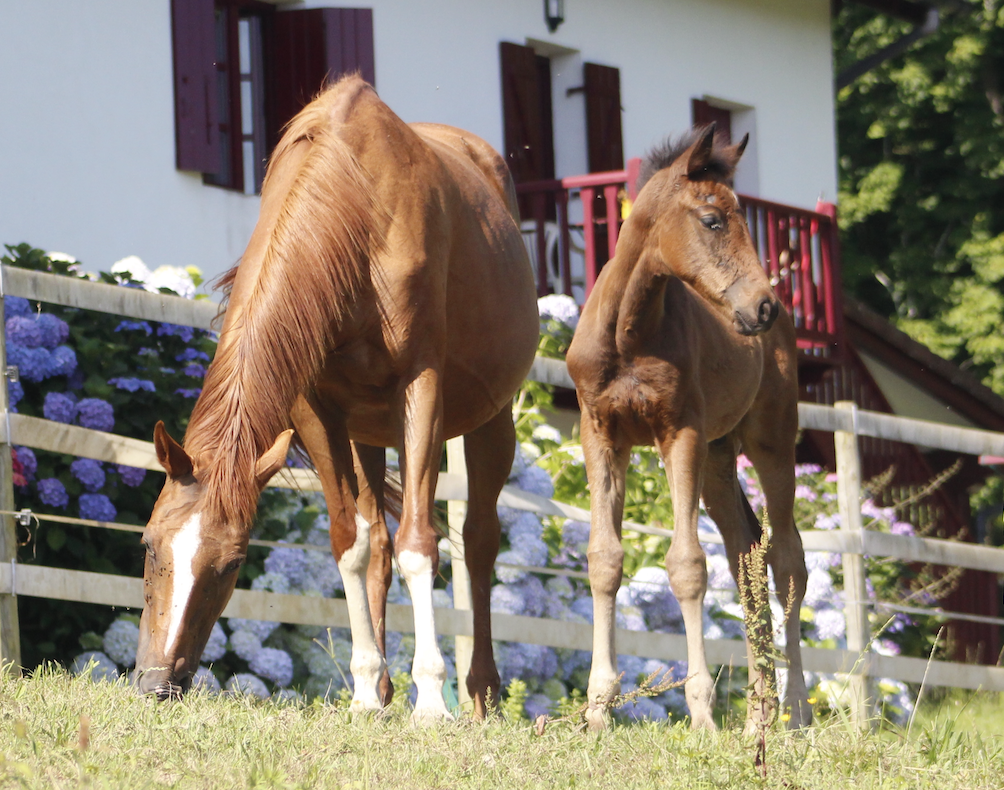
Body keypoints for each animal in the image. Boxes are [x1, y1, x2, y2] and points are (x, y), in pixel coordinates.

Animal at [134, 74, 539, 721]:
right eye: (148, 545)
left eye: (231, 565)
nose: (156, 684)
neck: (354, 206)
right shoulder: (315, 408)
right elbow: (352, 545)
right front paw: (367, 693)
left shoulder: (421, 385)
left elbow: (421, 544)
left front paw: (432, 697)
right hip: (368, 433)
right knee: (379, 544)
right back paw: (386, 688)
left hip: (491, 421)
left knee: (478, 543)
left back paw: (479, 692)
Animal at [565, 125, 810, 731]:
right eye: (713, 219)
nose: (763, 306)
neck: (628, 334)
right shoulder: (601, 433)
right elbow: (605, 559)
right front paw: (598, 709)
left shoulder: (682, 433)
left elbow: (687, 564)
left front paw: (700, 712)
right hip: (721, 458)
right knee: (748, 551)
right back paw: (758, 714)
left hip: (771, 440)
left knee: (787, 560)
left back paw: (796, 712)